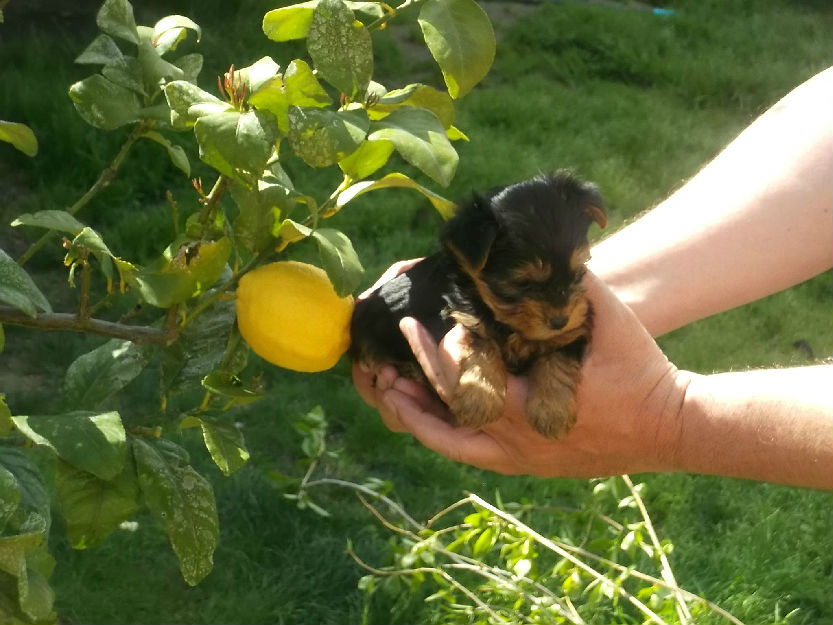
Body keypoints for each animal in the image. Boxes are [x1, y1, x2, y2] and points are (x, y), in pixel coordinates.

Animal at [344, 168, 604, 436]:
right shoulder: (464, 317)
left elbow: (558, 356)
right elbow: (482, 346)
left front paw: (552, 411)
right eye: (522, 284)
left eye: (578, 273)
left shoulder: (576, 327)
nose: (560, 321)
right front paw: (480, 400)